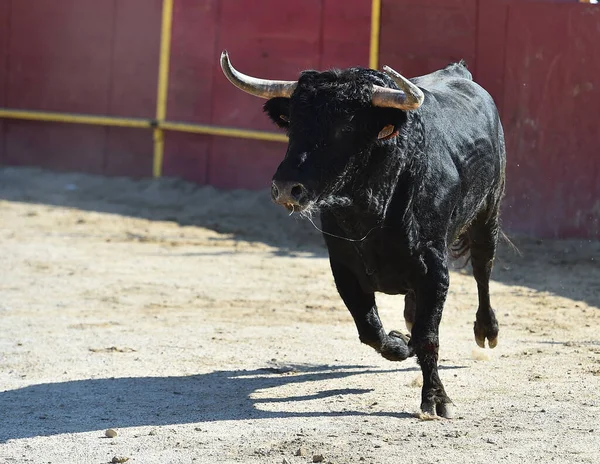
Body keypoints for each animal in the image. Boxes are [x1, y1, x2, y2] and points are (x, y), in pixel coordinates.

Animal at [220, 50, 506, 416]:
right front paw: (399, 344)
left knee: (483, 266)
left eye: (345, 127)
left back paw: (487, 330)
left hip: (489, 211)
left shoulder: (434, 268)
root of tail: (460, 73)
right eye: (293, 123)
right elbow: (371, 329)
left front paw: (436, 400)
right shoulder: (344, 269)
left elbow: (428, 336)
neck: (371, 207)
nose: (286, 188)